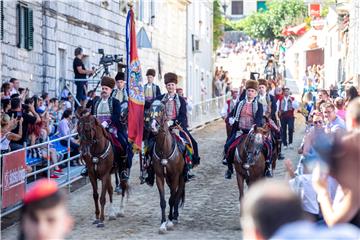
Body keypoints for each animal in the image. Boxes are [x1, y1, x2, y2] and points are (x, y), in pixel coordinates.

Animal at [148, 100, 186, 233]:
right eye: (149, 110)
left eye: (162, 110)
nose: (153, 126)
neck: (164, 150)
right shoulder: (160, 177)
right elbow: (163, 201)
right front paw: (163, 223)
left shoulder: (175, 176)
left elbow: (172, 199)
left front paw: (169, 222)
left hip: (181, 178)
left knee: (178, 194)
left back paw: (175, 216)